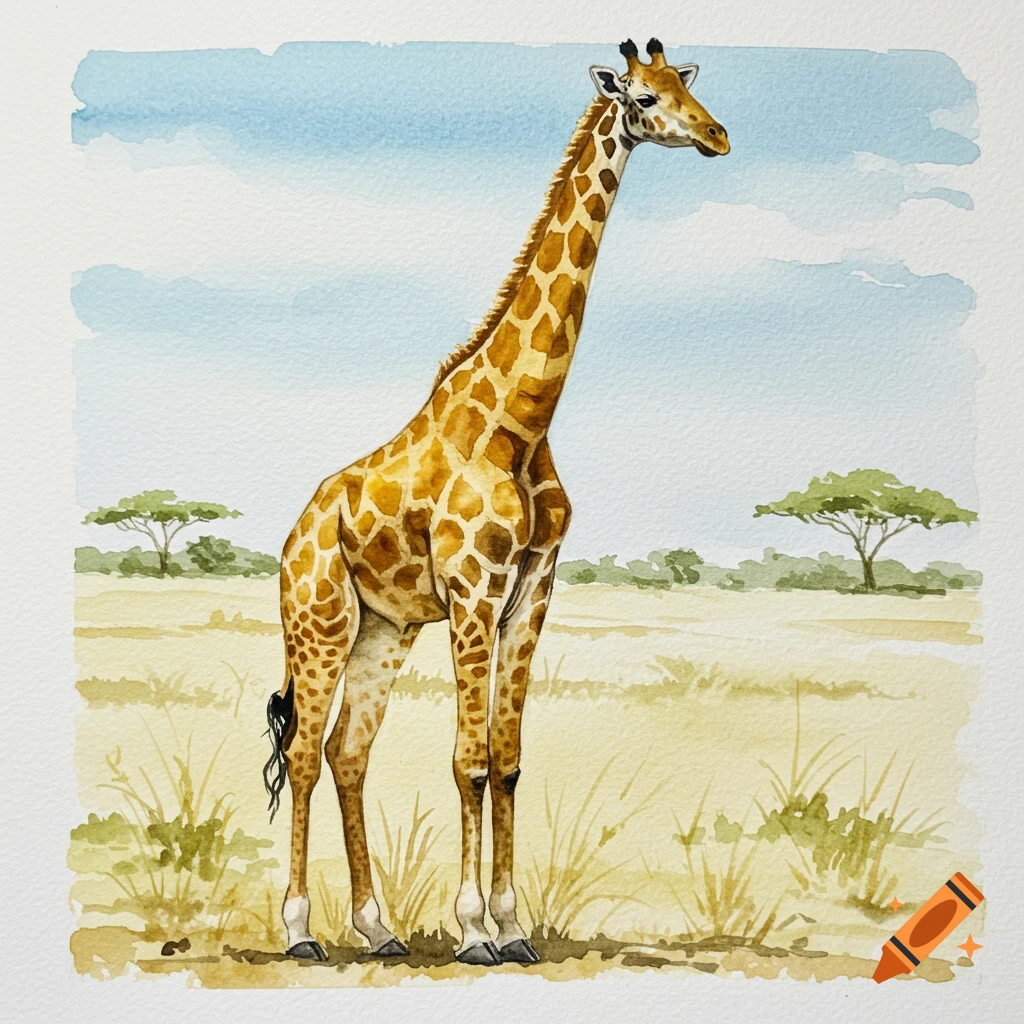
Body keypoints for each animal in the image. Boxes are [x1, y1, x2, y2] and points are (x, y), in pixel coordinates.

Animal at [262, 38, 730, 966]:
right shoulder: (475, 590)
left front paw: (513, 928)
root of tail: (295, 534)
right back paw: (300, 932)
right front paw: (475, 927)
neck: (521, 420)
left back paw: (377, 928)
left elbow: (508, 760)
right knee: (302, 754)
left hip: (384, 630)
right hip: (320, 620)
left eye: (686, 86)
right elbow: (468, 760)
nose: (718, 136)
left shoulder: (532, 592)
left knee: (346, 754)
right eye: (645, 98)